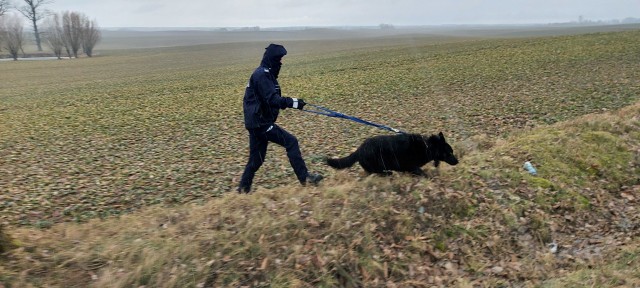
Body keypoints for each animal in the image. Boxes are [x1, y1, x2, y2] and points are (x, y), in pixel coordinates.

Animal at [328, 132, 458, 176]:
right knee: (377, 172)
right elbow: (422, 172)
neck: (427, 146)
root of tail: (359, 150)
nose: (458, 161)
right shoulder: (411, 166)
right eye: (449, 153)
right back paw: (389, 173)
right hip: (378, 165)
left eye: (452, 151)